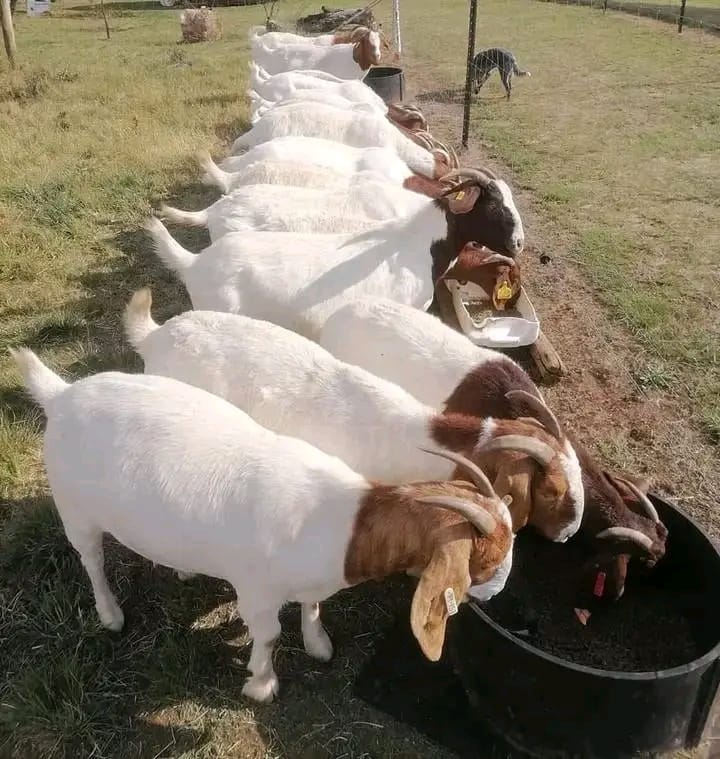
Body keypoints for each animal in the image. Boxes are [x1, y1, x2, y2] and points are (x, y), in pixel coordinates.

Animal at [12, 347, 514, 702]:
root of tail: (61, 394)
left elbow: (313, 606)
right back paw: (110, 614)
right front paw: (261, 684)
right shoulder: (255, 590)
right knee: (92, 560)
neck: (345, 520)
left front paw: (317, 643)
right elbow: (269, 635)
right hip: (75, 510)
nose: (497, 596)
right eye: (485, 561)